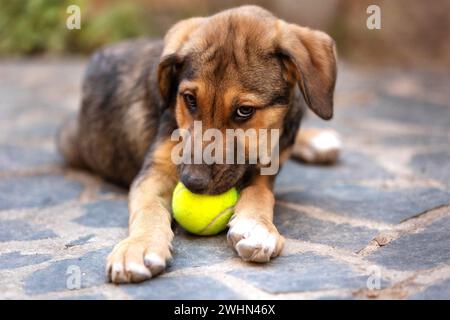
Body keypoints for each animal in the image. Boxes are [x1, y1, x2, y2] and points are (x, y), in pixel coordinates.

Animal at [59, 6, 342, 284]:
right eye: (189, 100)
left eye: (244, 111)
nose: (192, 182)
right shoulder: (156, 169)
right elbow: (148, 208)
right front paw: (138, 247)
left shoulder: (267, 166)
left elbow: (261, 194)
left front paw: (256, 227)